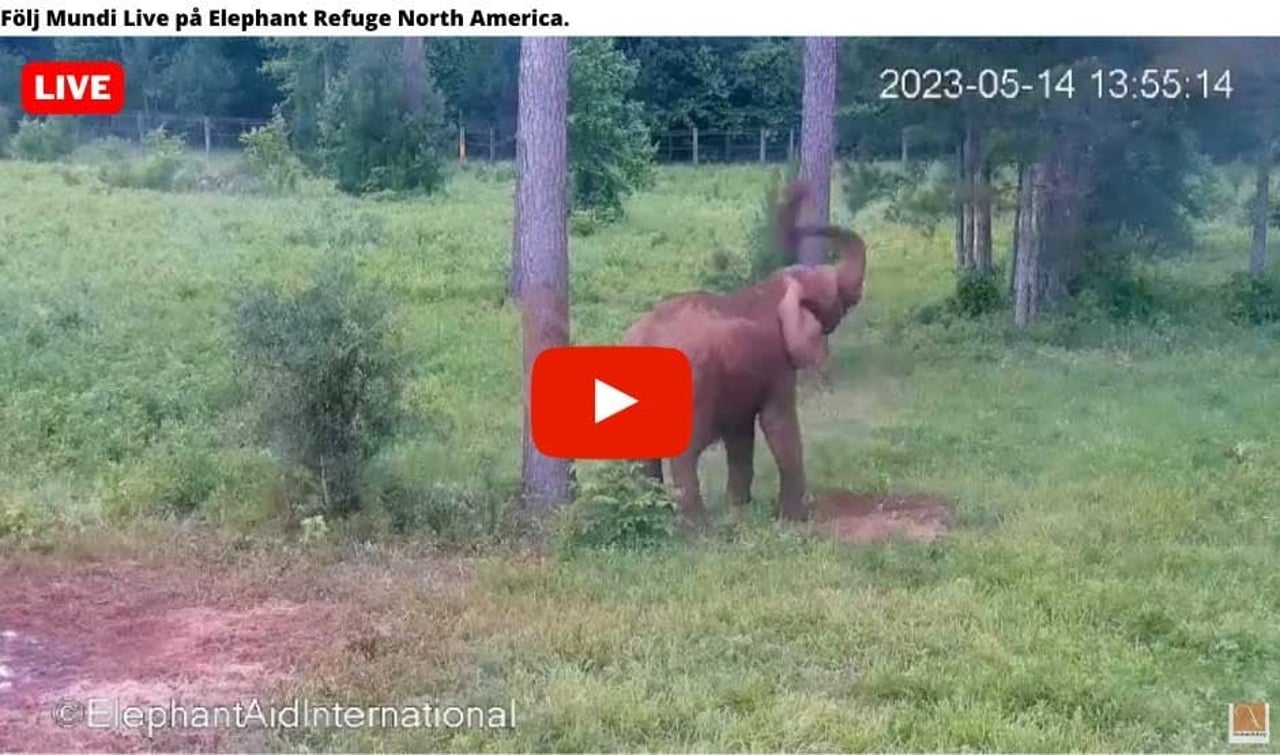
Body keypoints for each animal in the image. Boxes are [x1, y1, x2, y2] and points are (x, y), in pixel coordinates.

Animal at [622, 181, 870, 527]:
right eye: (835, 292)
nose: (802, 189)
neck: (774, 288)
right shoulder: (777, 363)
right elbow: (778, 423)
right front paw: (794, 518)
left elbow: (740, 433)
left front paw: (739, 509)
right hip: (694, 383)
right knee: (685, 451)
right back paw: (697, 526)